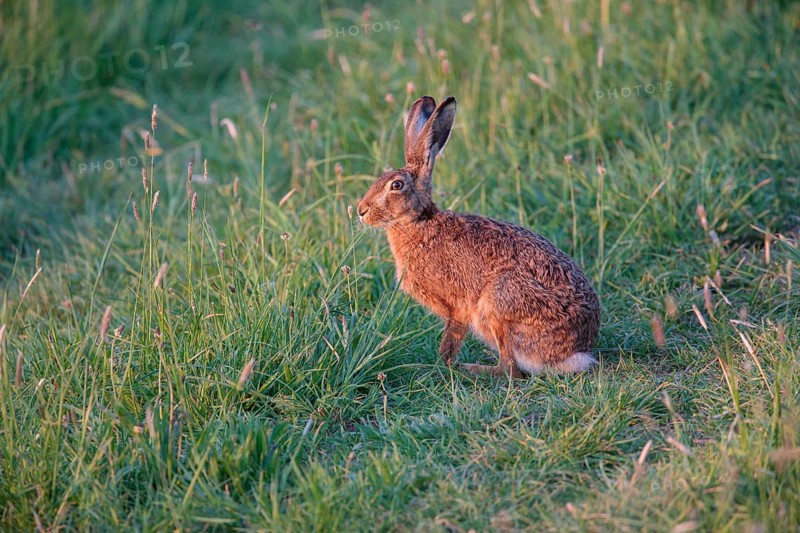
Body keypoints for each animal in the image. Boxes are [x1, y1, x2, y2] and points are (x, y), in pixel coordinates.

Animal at [357, 95, 600, 377]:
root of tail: (572, 353)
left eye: (396, 185)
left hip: (499, 303)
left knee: (510, 370)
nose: (361, 211)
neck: (418, 223)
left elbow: (451, 340)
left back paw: (473, 368)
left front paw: (442, 364)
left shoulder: (459, 306)